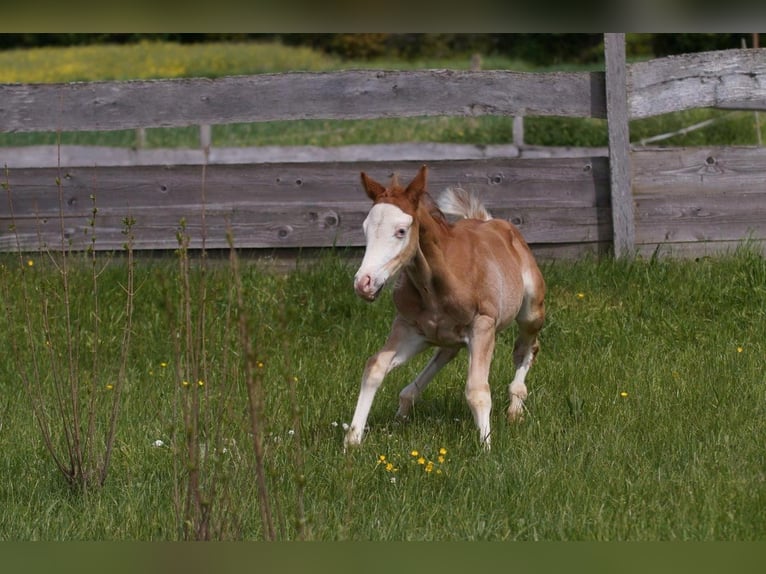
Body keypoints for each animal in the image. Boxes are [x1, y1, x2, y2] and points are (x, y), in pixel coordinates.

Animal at [344, 164, 548, 452]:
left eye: (401, 231)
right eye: (365, 228)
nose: (364, 283)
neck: (435, 285)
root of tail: (492, 221)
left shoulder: (482, 326)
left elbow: (477, 390)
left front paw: (486, 448)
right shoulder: (407, 326)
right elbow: (375, 366)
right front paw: (352, 440)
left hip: (531, 311)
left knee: (526, 347)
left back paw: (515, 407)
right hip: (440, 337)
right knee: (445, 353)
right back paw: (402, 412)